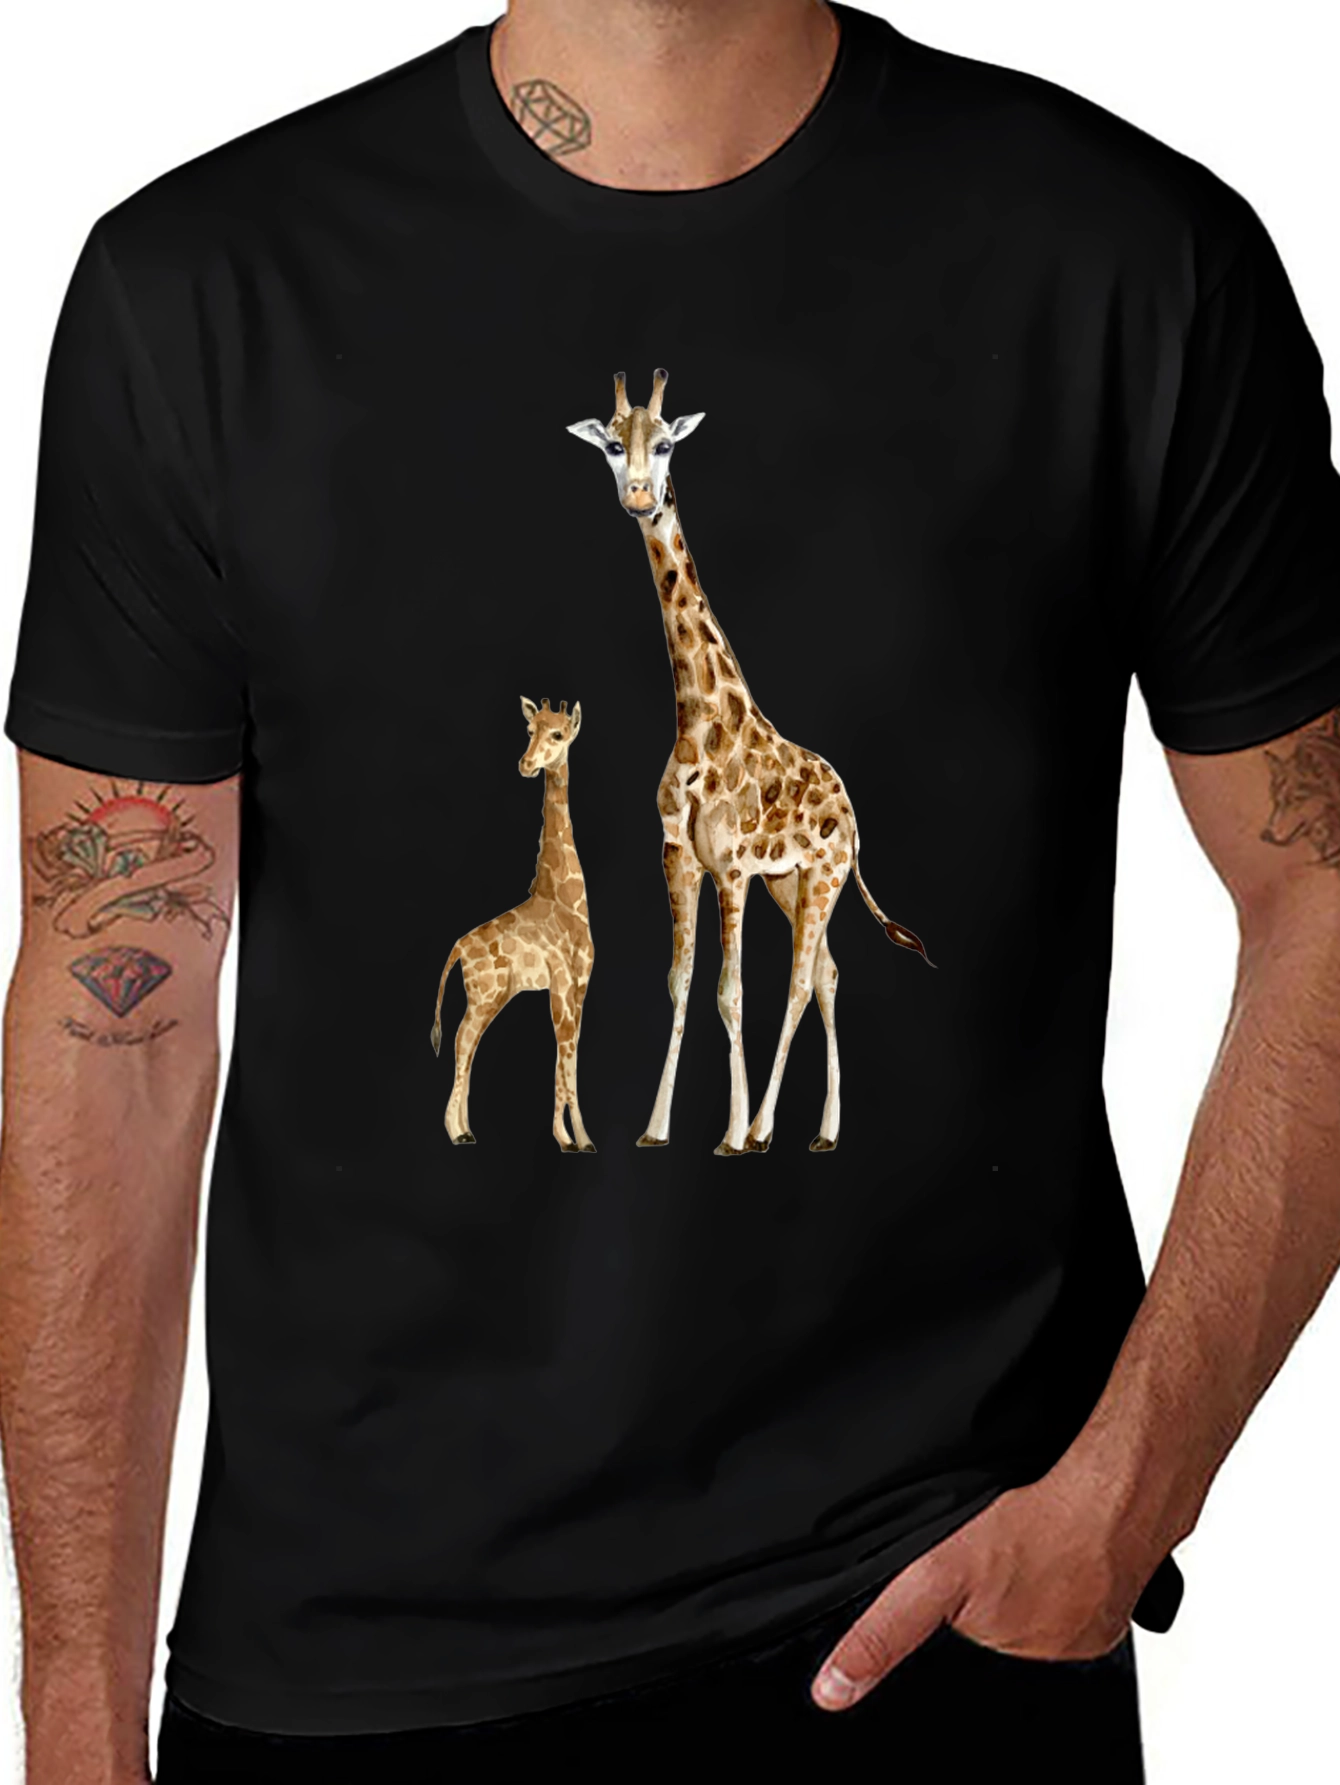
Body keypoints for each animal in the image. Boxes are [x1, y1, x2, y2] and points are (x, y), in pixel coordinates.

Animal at [430, 699, 594, 1152]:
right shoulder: (561, 984)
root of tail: (457, 948)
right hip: (486, 994)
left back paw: (465, 1128)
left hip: (496, 995)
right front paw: (570, 1137)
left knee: (467, 1043)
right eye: (530, 730)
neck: (563, 897)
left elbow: (568, 1057)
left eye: (558, 734)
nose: (526, 764)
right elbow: (565, 1054)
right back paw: (456, 1132)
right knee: (462, 1040)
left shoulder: (578, 986)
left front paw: (574, 1137)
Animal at [569, 371, 925, 1155]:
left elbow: (731, 991)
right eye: (611, 444)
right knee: (827, 971)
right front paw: (656, 1128)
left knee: (803, 979)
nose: (639, 496)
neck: (699, 719)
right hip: (789, 883)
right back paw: (822, 1131)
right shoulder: (679, 856)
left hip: (822, 876)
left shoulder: (730, 866)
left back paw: (762, 1128)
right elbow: (682, 980)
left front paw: (730, 1131)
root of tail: (852, 811)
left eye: (665, 443)